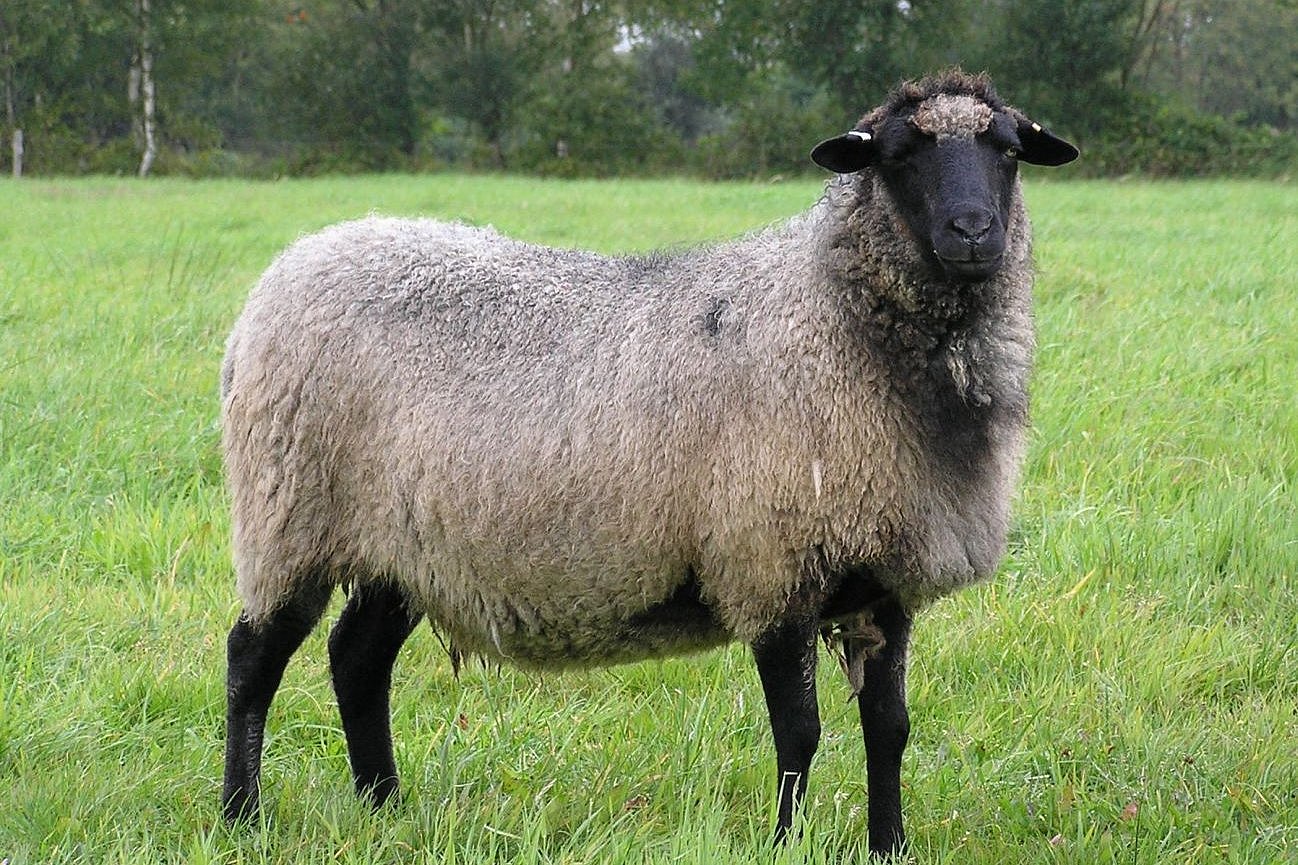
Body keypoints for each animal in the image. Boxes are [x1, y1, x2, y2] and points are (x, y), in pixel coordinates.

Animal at [220, 70, 1074, 852]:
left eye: (1007, 150)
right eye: (899, 155)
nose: (973, 232)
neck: (832, 316)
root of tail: (292, 263)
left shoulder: (884, 576)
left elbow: (889, 728)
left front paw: (889, 844)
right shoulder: (771, 564)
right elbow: (799, 734)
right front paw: (785, 842)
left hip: (405, 542)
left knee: (357, 657)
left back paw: (386, 808)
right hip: (290, 511)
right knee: (253, 656)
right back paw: (242, 815)